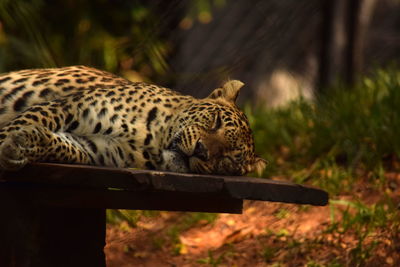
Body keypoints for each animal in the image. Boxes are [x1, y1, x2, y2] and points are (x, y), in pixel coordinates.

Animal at [0, 65, 266, 176]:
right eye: (215, 122)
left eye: (228, 159)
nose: (201, 151)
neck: (154, 139)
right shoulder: (69, 107)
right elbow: (29, 118)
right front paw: (9, 140)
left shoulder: (96, 150)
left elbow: (62, 146)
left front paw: (24, 144)